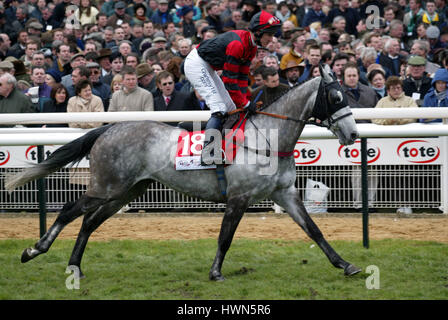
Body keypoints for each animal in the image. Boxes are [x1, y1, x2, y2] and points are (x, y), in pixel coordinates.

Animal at [6, 66, 360, 282]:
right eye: (336, 96)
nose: (354, 134)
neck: (268, 139)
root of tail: (109, 128)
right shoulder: (239, 197)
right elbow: (225, 237)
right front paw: (216, 272)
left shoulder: (284, 193)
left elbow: (314, 231)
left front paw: (346, 264)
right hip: (107, 186)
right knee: (70, 210)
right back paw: (34, 250)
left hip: (128, 190)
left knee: (89, 222)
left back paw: (75, 267)